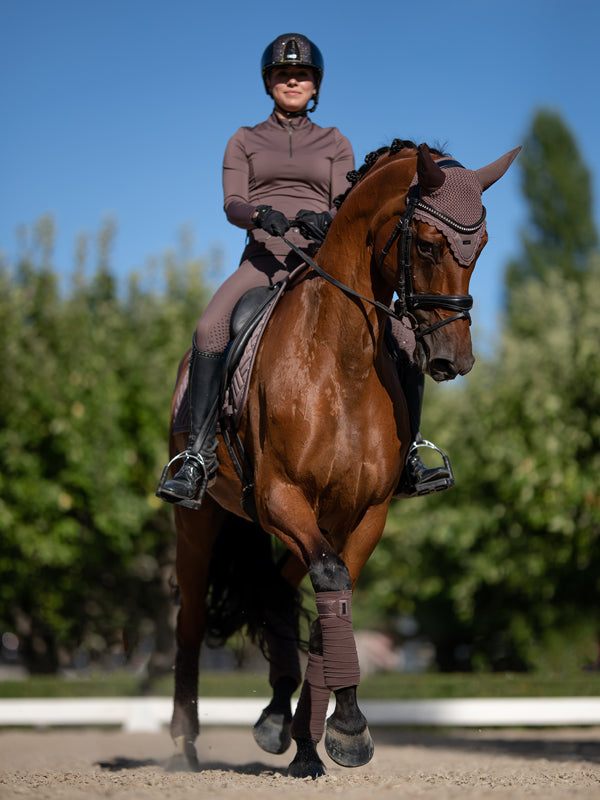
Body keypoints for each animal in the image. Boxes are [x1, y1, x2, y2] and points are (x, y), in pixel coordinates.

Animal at [165, 141, 520, 780]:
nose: (453, 360)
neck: (343, 359)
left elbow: (338, 594)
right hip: (198, 522)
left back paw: (279, 722)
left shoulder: (365, 510)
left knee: (276, 590)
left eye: (479, 247)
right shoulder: (280, 495)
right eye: (426, 245)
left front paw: (325, 735)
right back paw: (185, 744)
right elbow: (332, 581)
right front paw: (346, 730)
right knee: (191, 620)